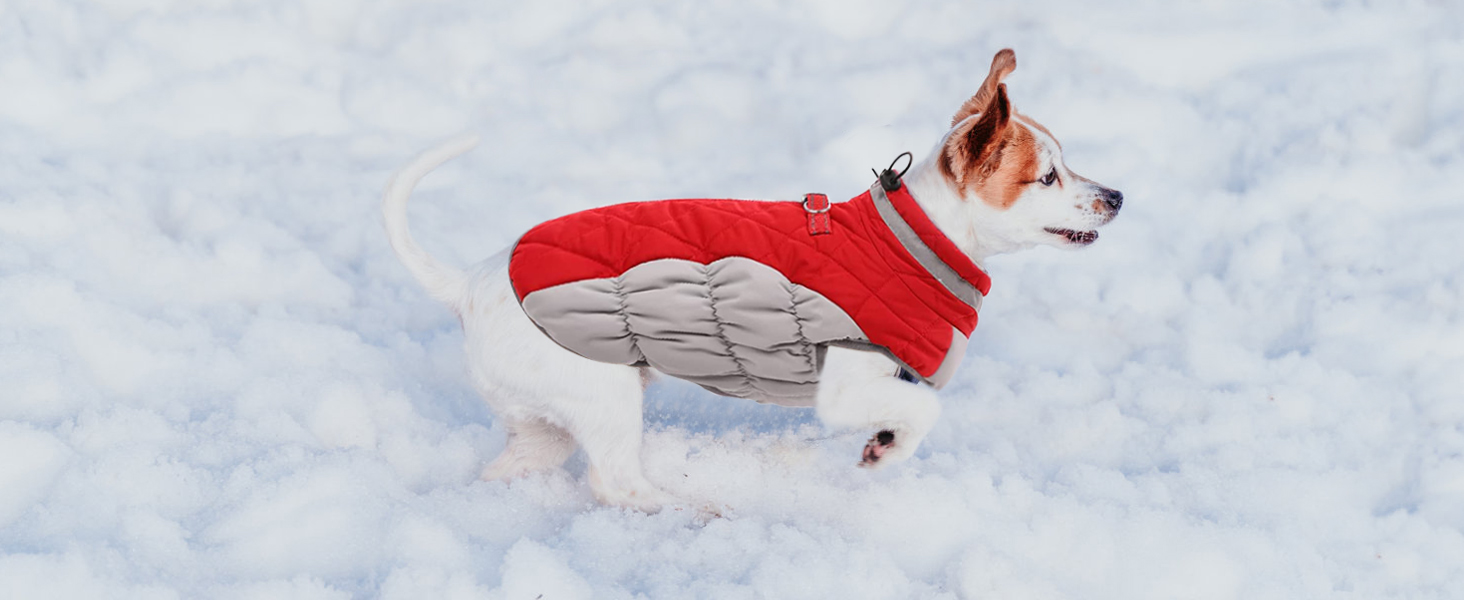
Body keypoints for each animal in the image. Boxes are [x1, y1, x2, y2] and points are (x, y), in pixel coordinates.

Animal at [380, 47, 1118, 512]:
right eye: (1047, 177)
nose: (1116, 197)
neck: (916, 238)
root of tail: (468, 284)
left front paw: (885, 444)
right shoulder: (846, 386)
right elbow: (921, 411)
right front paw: (886, 452)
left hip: (544, 422)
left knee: (512, 466)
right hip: (604, 394)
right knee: (619, 485)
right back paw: (698, 510)